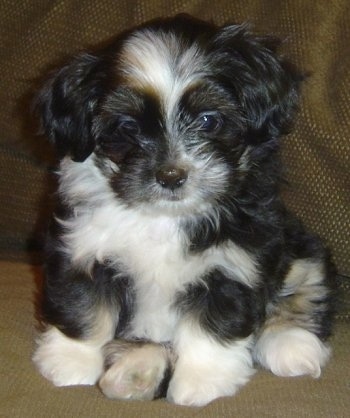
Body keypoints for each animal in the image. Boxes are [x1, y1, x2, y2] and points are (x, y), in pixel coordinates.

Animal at [33, 15, 336, 404]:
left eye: (208, 120)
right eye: (127, 127)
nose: (171, 176)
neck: (163, 217)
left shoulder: (234, 262)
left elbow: (214, 322)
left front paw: (202, 380)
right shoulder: (82, 247)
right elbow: (83, 303)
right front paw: (70, 360)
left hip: (301, 250)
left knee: (304, 289)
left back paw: (292, 344)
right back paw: (135, 372)